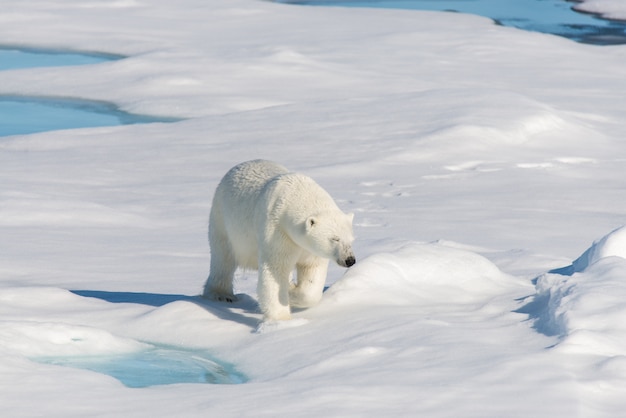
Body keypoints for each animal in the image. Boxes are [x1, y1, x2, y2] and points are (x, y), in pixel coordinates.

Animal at [202, 159, 354, 320]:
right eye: (335, 239)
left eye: (351, 239)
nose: (350, 260)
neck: (296, 193)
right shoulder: (277, 231)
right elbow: (276, 269)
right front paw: (281, 318)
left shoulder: (309, 248)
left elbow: (312, 274)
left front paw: (293, 291)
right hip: (223, 221)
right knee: (223, 259)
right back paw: (222, 295)